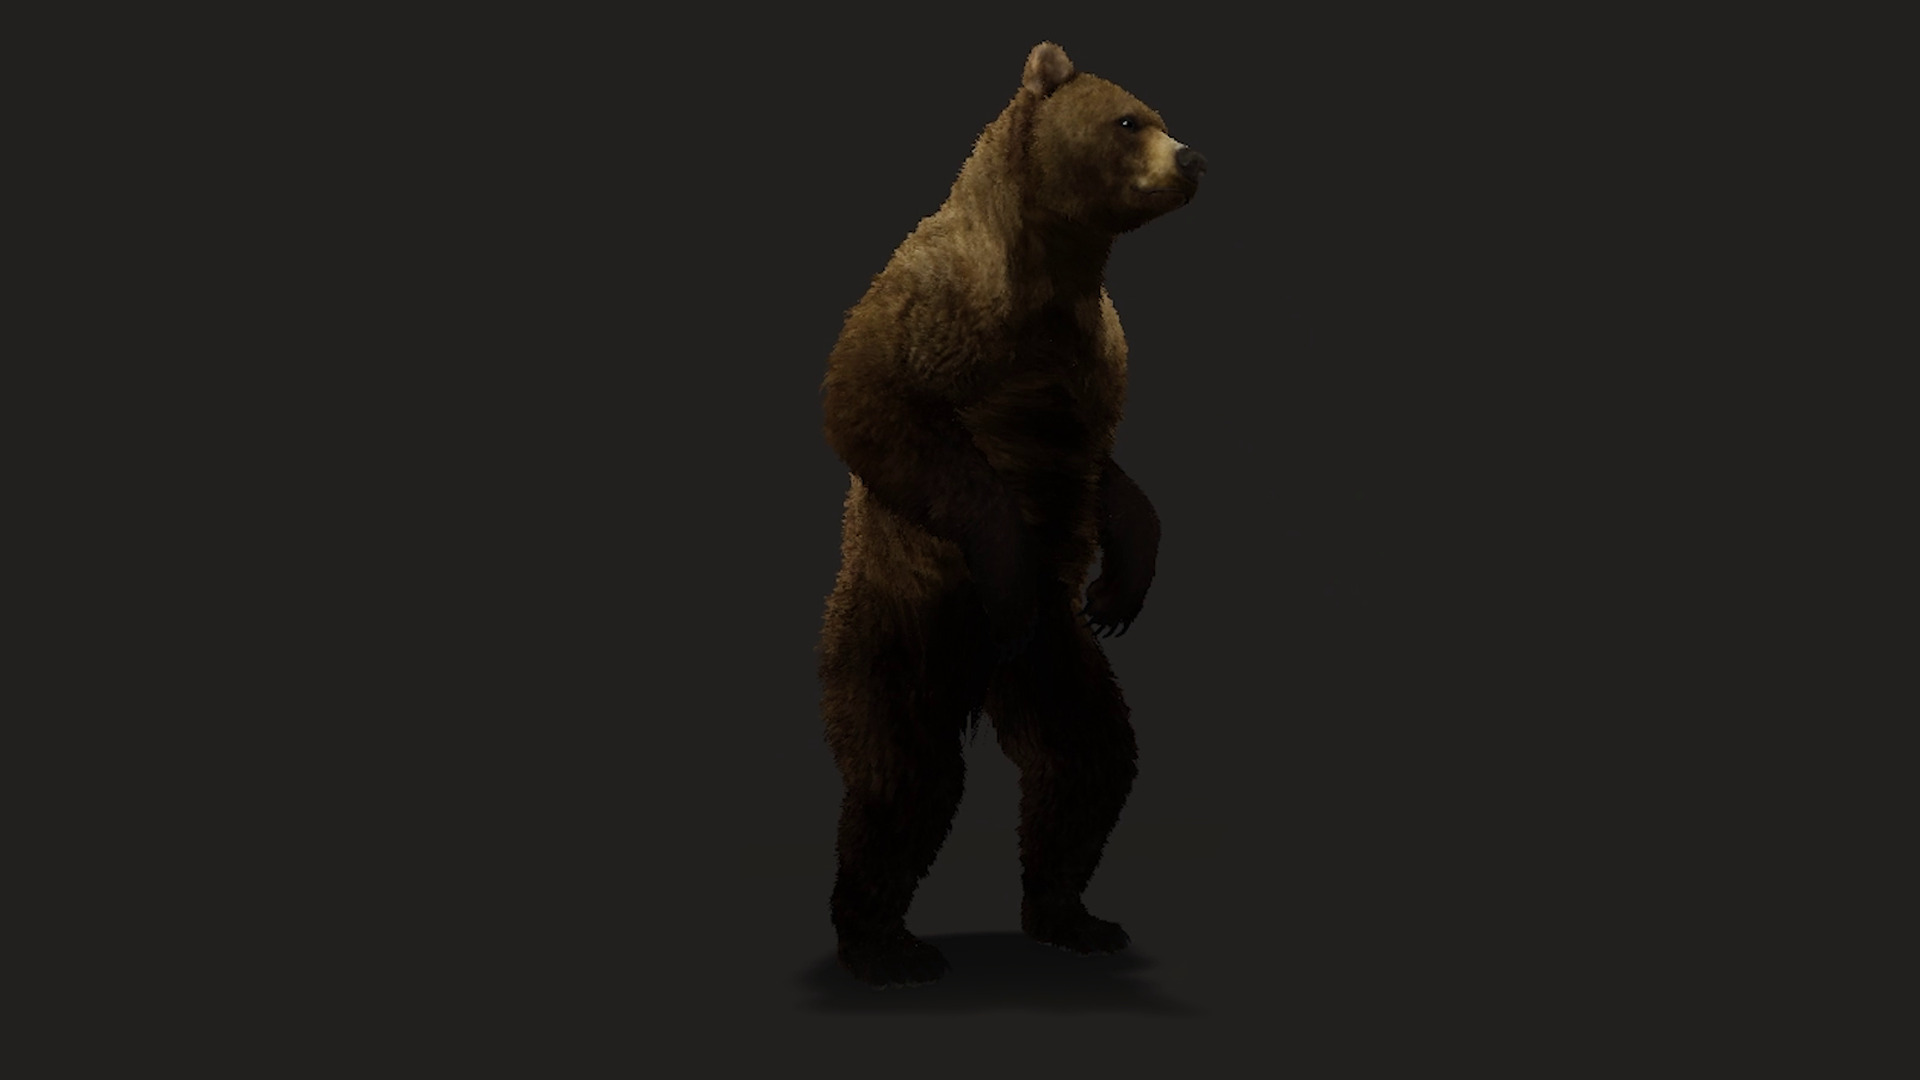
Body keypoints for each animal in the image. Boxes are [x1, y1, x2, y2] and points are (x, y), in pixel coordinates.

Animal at [816, 41, 1206, 988]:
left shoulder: (1093, 355)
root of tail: (979, 678)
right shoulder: (937, 299)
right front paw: (1008, 561)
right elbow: (871, 404)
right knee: (900, 772)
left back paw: (1073, 914)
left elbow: (1108, 472)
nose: (1193, 157)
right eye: (1130, 119)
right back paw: (883, 942)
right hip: (898, 622)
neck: (1055, 266)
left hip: (1051, 662)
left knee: (1087, 756)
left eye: (1155, 113)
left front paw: (1120, 589)